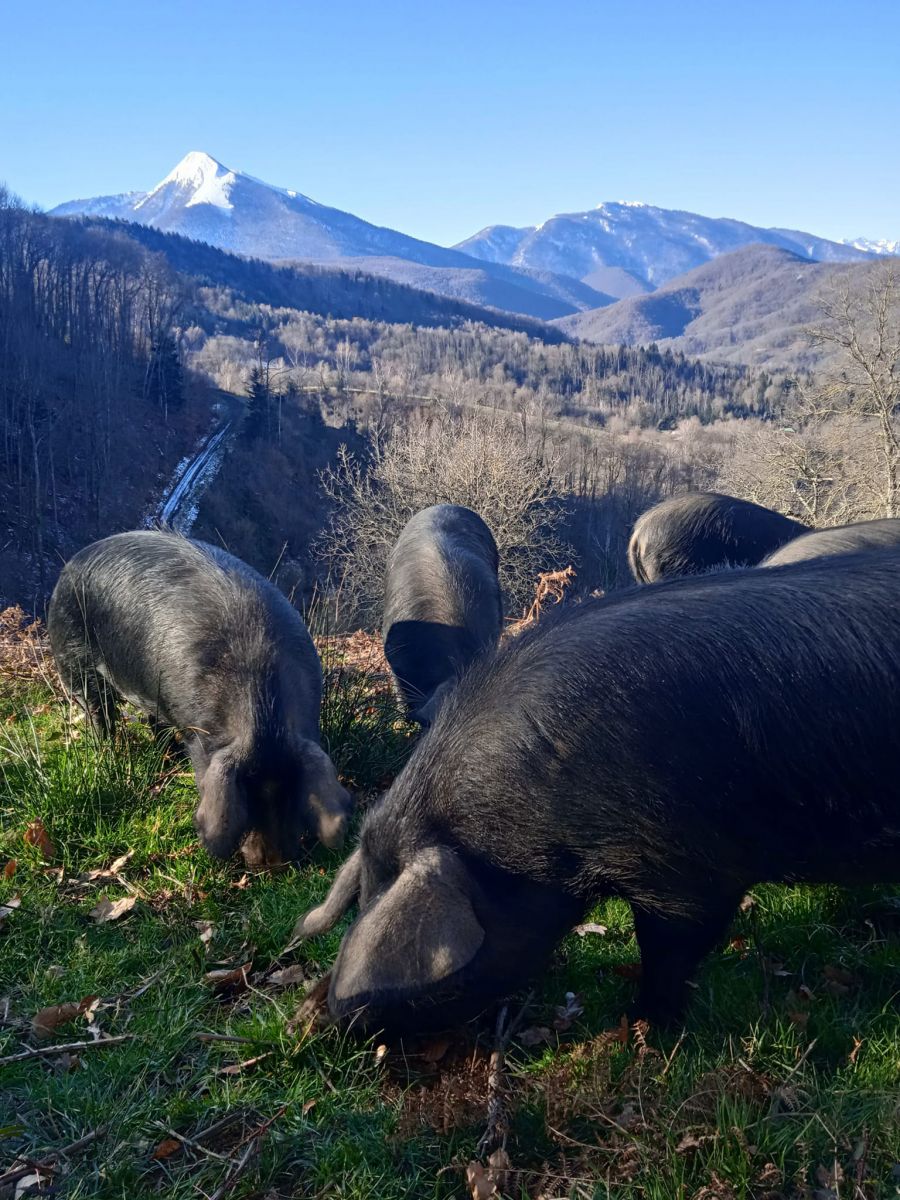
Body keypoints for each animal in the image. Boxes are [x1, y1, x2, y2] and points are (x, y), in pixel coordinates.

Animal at [45, 532, 350, 864]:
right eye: (247, 793)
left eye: (291, 789)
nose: (274, 864)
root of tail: (70, 565)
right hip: (72, 659)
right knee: (96, 710)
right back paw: (108, 751)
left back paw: (170, 756)